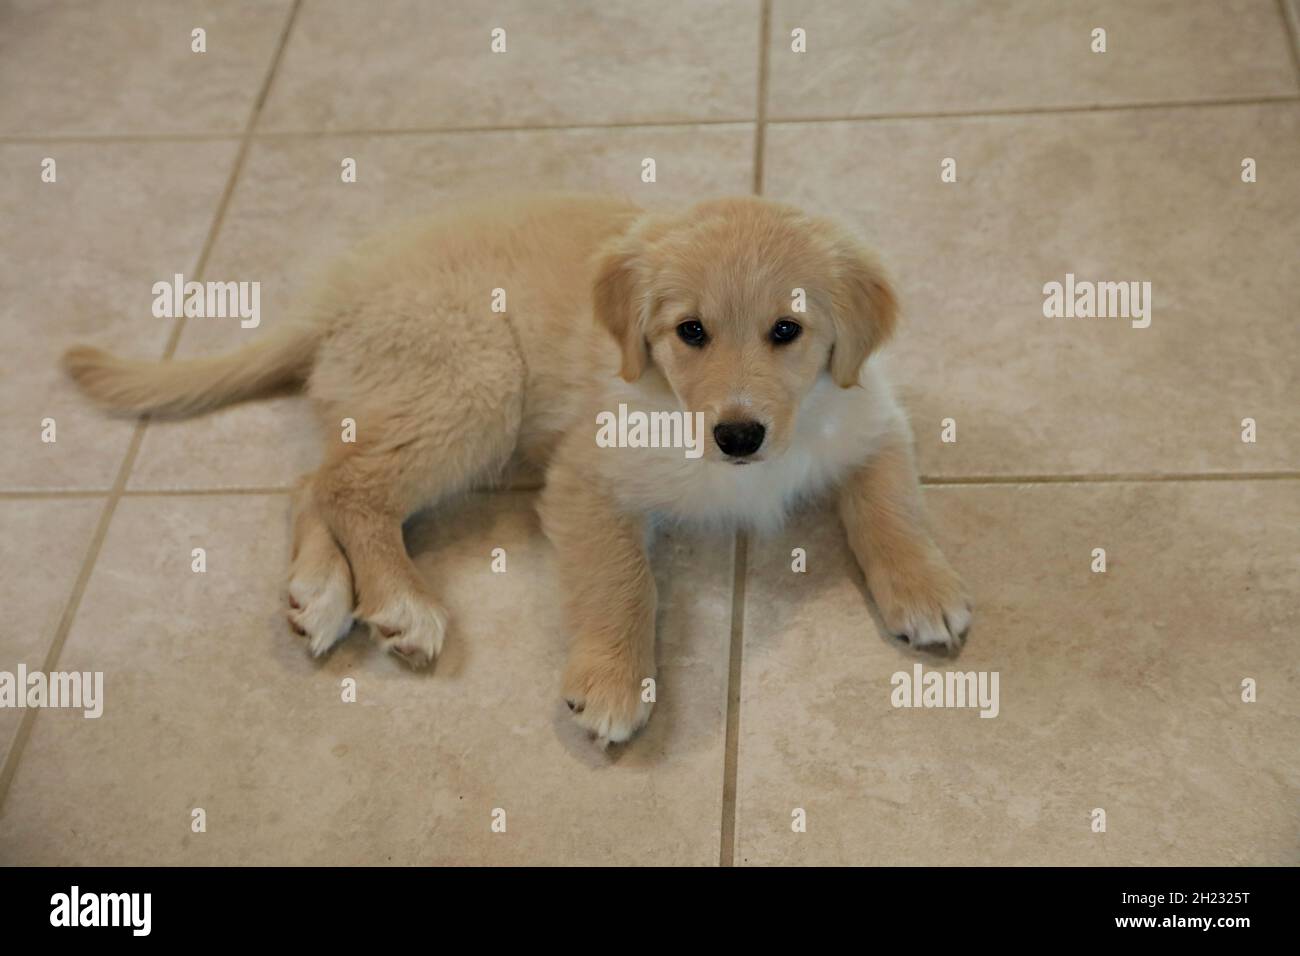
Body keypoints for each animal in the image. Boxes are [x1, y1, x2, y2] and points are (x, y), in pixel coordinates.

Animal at [65, 195, 972, 743]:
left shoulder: (869, 418)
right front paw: (613, 681)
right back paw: (398, 602)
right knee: (350, 486)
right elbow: (623, 581)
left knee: (314, 480)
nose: (739, 436)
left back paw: (319, 592)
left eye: (788, 330)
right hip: (479, 379)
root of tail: (339, 295)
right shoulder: (586, 475)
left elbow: (894, 510)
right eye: (690, 333)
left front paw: (924, 590)